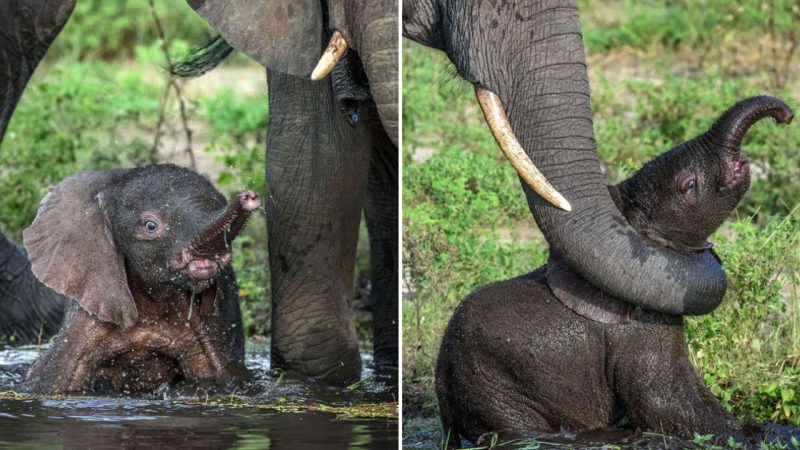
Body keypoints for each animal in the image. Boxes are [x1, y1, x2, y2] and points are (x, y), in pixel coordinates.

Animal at [438, 96, 792, 446]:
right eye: (689, 185)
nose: (785, 116)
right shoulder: (635, 333)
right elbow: (663, 403)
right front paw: (762, 437)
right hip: (493, 383)